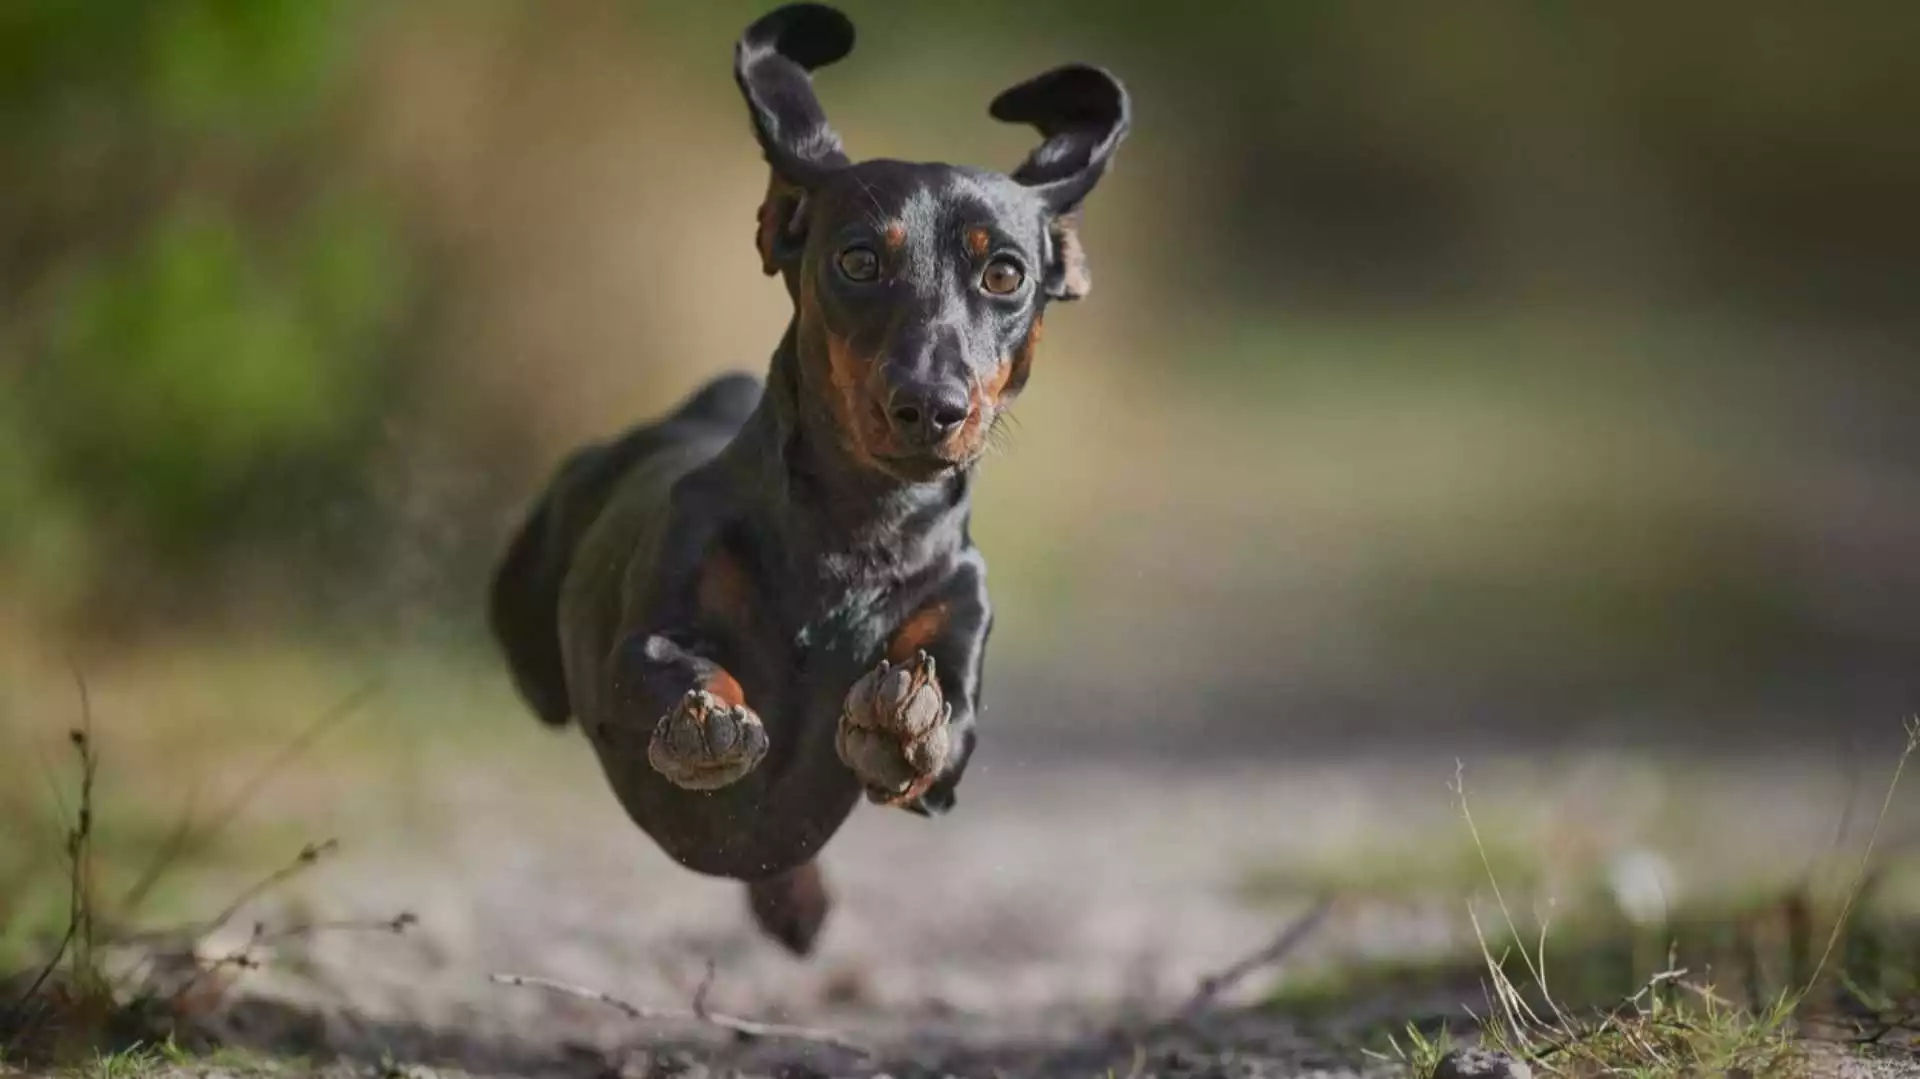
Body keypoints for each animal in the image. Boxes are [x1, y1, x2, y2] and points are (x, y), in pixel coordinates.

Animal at [487, 4, 1128, 952]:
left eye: (1005, 272)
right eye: (858, 260)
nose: (929, 405)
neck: (857, 533)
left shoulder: (960, 626)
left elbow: (943, 729)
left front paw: (909, 724)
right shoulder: (637, 649)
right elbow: (672, 666)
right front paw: (706, 719)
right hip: (531, 642)